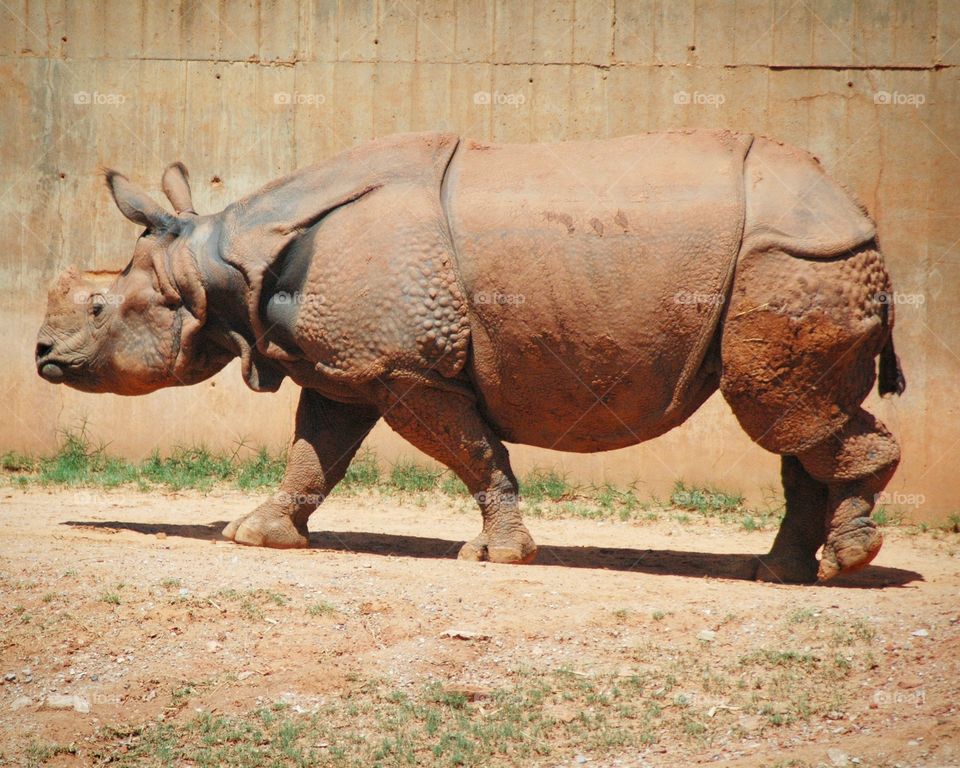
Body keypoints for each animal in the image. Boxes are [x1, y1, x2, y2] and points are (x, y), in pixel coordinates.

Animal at [36, 130, 904, 583]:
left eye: (98, 308)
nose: (41, 354)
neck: (215, 267)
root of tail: (861, 214)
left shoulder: (406, 369)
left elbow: (472, 452)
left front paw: (496, 556)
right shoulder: (350, 365)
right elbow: (314, 453)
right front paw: (255, 535)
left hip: (796, 260)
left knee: (780, 407)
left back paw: (845, 564)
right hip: (797, 261)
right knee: (796, 418)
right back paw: (782, 573)